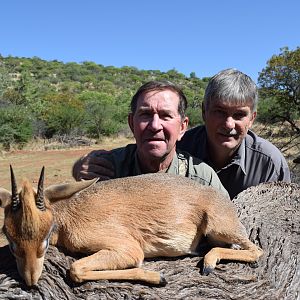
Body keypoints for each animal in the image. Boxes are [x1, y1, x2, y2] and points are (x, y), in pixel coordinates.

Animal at [0, 166, 262, 286]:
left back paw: (208, 263)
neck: (65, 217)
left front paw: (157, 277)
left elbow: (75, 269)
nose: (31, 280)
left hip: (220, 227)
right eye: (9, 238)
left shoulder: (128, 249)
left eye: (45, 238)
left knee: (257, 251)